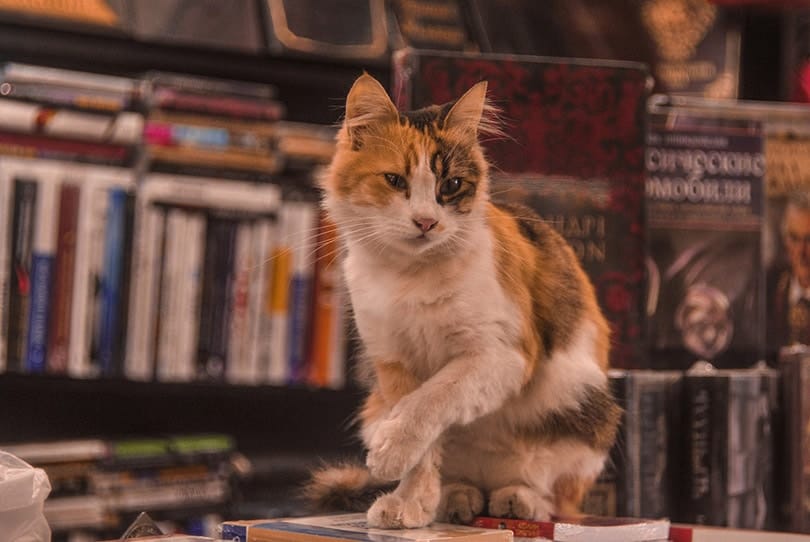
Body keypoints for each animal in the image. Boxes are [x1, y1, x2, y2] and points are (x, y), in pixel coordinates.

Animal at [308, 74, 620, 528]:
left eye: (451, 185)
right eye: (395, 181)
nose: (426, 222)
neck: (411, 276)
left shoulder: (500, 355)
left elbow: (432, 399)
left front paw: (391, 452)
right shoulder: (394, 362)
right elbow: (424, 444)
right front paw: (409, 503)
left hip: (585, 404)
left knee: (553, 494)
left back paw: (517, 500)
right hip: (374, 407)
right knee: (461, 479)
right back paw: (456, 499)